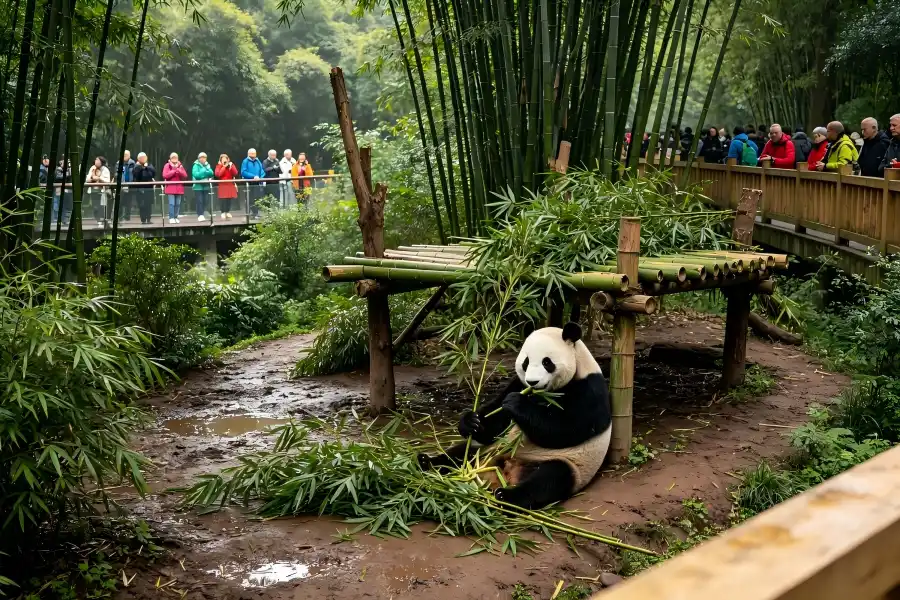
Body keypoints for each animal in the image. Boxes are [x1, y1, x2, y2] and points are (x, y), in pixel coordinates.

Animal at [418, 321, 612, 509]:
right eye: (526, 362)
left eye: (547, 362)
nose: (532, 382)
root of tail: (503, 471)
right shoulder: (518, 383)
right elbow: (496, 420)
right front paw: (470, 421)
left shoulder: (590, 389)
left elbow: (566, 428)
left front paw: (517, 404)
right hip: (487, 450)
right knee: (461, 453)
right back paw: (426, 462)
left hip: (569, 465)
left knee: (548, 480)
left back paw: (506, 496)